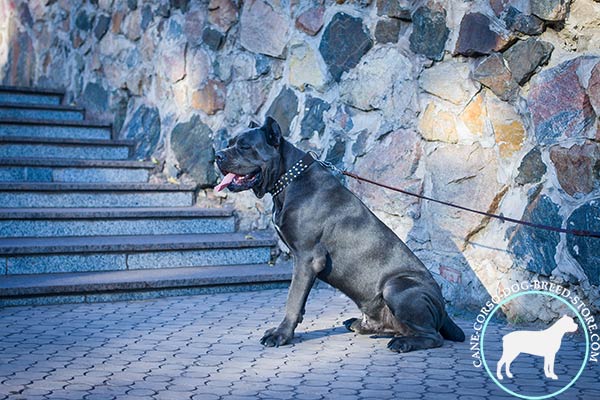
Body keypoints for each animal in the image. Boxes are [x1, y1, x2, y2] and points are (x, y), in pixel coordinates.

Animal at [213, 116, 466, 354]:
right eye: (230, 143)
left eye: (244, 146)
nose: (217, 155)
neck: (289, 179)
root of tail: (443, 310)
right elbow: (298, 301)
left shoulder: (307, 258)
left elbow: (293, 299)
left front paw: (281, 335)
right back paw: (363, 325)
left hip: (396, 286)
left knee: (433, 336)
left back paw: (403, 343)